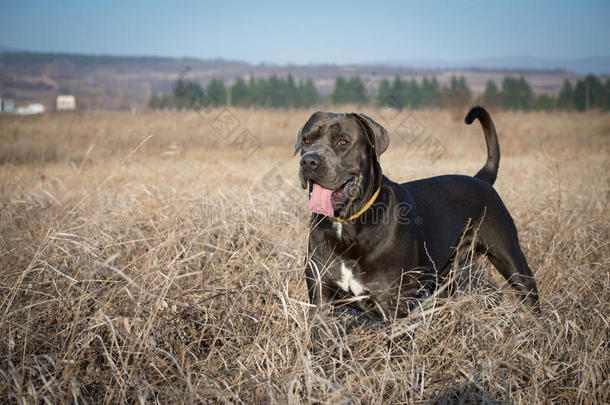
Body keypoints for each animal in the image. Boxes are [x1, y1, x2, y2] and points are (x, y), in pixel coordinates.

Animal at [294, 106, 536, 318]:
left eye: (342, 142)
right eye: (307, 140)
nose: (309, 161)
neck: (347, 224)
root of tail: (481, 179)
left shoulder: (395, 306)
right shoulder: (321, 301)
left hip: (511, 259)